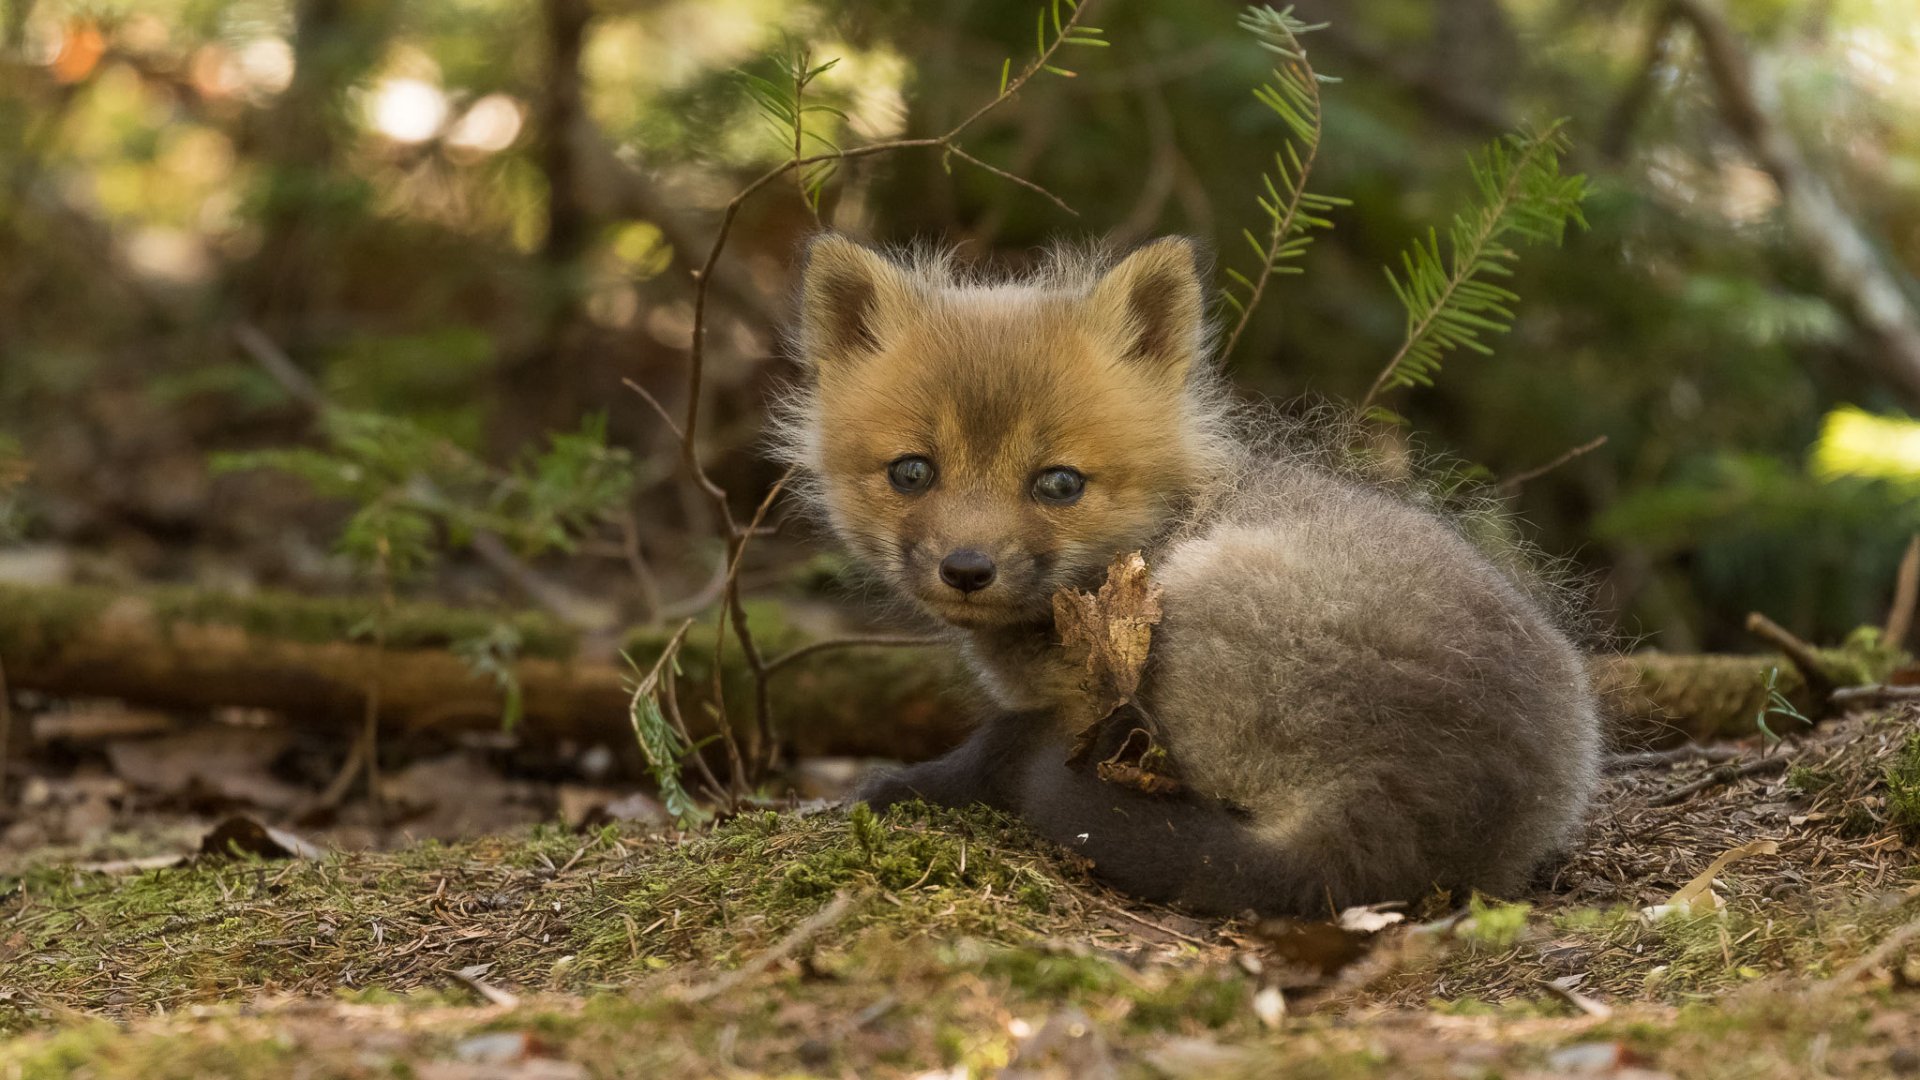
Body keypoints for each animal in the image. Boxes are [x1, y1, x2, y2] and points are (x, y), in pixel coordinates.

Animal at [775, 233, 1601, 917]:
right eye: (912, 472)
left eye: (1059, 484)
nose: (968, 569)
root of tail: (1402, 813)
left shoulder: (1080, 701)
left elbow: (997, 754)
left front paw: (906, 787)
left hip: (1203, 599)